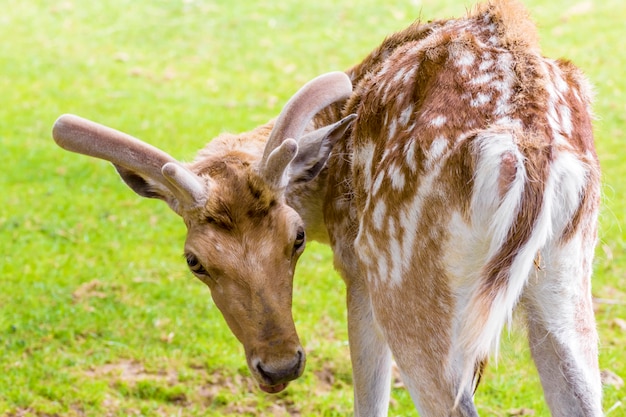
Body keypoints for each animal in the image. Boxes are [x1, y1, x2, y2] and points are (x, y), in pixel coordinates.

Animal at [52, 0, 600, 414]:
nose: (280, 366)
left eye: (295, 237)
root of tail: (527, 145)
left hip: (408, 282)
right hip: (566, 277)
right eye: (196, 261)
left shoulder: (356, 270)